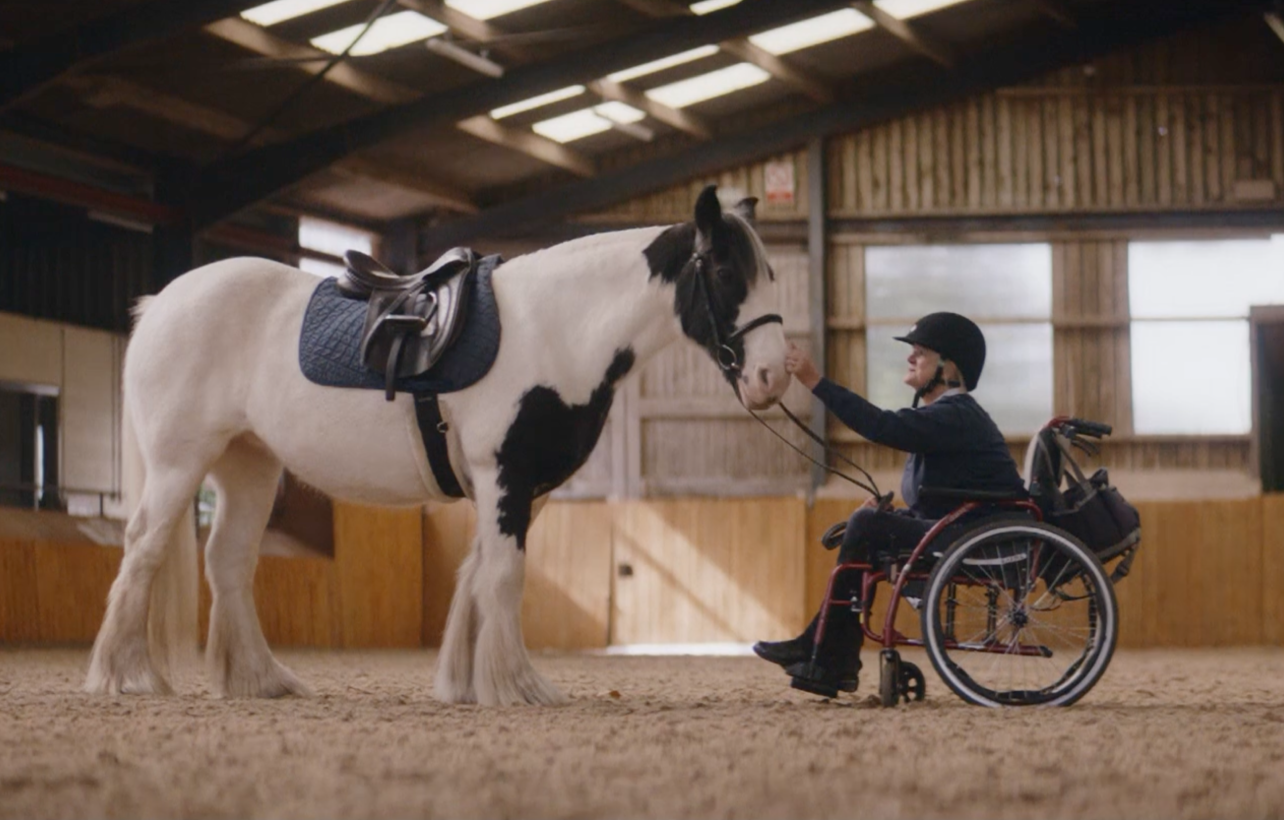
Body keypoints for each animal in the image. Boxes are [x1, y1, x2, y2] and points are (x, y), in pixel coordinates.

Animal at [83, 184, 791, 706]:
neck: (556, 327)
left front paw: (466, 682)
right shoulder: (503, 475)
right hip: (180, 464)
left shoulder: (519, 488)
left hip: (249, 465)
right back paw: (125, 676)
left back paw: (261, 680)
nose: (772, 377)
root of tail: (161, 302)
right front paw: (518, 686)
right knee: (142, 552)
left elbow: (477, 574)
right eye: (724, 269)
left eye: (770, 273)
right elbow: (504, 577)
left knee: (227, 561)